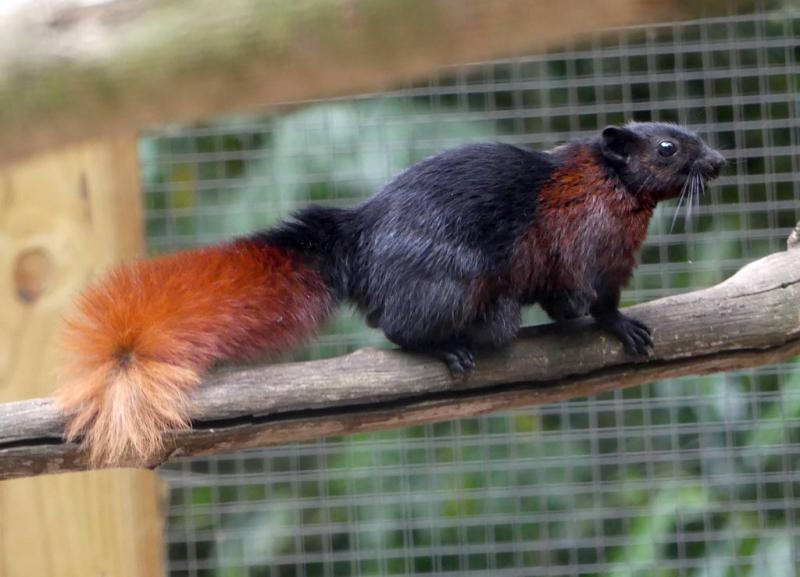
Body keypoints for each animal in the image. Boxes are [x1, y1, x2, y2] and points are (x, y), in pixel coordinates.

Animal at [55, 122, 725, 465]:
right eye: (668, 147)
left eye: (690, 135)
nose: (719, 160)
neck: (606, 186)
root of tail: (355, 236)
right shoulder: (592, 251)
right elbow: (597, 301)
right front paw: (621, 325)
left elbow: (564, 304)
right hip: (453, 284)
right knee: (398, 330)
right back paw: (449, 348)